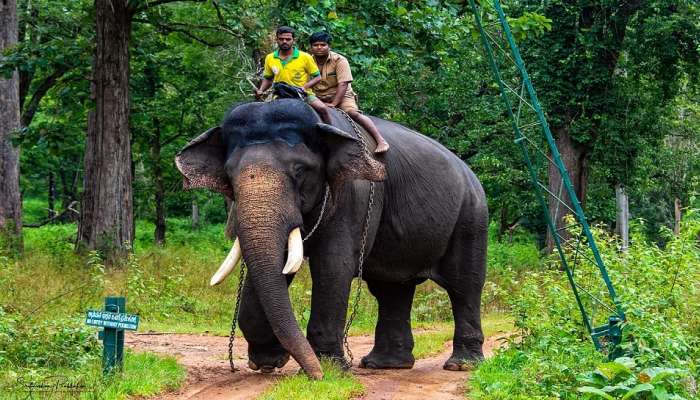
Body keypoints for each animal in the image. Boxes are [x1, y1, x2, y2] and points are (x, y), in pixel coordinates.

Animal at [175, 99, 486, 378]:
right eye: (229, 175)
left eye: (300, 170)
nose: (315, 376)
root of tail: (470, 173)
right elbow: (276, 266)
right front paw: (266, 363)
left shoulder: (355, 193)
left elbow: (333, 265)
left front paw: (329, 368)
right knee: (391, 289)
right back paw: (384, 365)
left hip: (470, 217)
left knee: (463, 285)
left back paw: (461, 365)